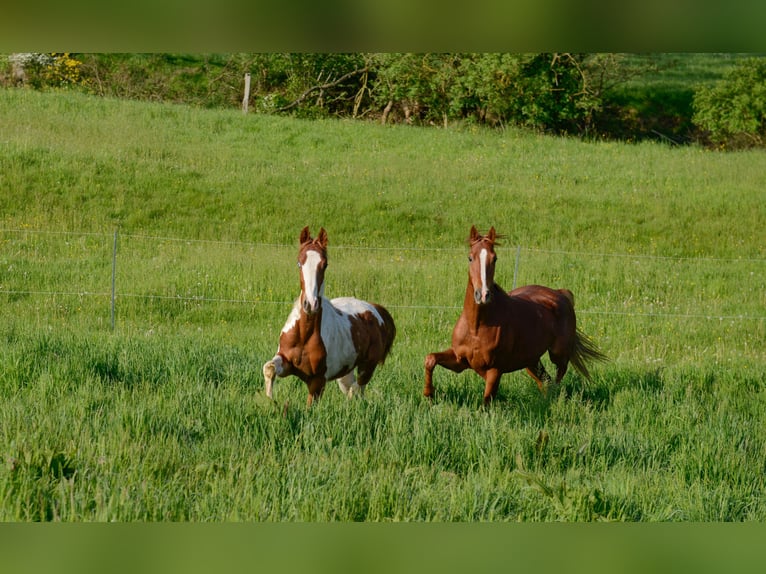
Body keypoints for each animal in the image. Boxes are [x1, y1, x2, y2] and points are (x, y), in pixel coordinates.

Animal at [262, 227, 396, 408]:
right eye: (299, 263)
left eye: (324, 264)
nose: (310, 304)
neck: (305, 334)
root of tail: (375, 309)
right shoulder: (285, 361)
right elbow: (269, 368)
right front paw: (270, 401)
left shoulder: (317, 381)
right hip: (346, 372)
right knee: (353, 389)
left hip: (367, 367)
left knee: (357, 390)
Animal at [424, 227, 608, 408]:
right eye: (470, 258)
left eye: (494, 258)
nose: (482, 295)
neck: (476, 326)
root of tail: (560, 293)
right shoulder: (459, 361)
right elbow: (430, 359)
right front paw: (429, 394)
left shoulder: (495, 370)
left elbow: (486, 402)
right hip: (531, 361)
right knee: (545, 381)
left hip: (557, 353)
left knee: (557, 377)